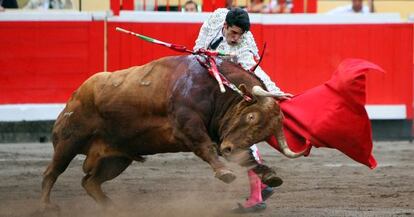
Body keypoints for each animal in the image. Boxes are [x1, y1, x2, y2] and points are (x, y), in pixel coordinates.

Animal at [40, 55, 302, 209]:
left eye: (263, 135)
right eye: (250, 116)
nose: (229, 150)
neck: (216, 88)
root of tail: (75, 94)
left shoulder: (222, 135)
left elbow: (247, 158)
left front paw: (269, 174)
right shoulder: (188, 126)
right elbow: (206, 147)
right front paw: (225, 172)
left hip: (117, 158)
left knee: (90, 182)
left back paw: (113, 208)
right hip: (69, 141)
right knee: (51, 173)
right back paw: (46, 207)